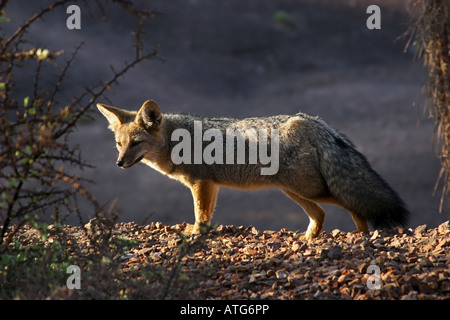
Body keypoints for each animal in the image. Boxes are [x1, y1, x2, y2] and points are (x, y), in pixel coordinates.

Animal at [96, 101, 410, 239]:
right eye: (119, 144)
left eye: (136, 143)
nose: (119, 163)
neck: (177, 140)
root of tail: (311, 121)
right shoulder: (211, 185)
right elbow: (206, 214)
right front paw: (200, 231)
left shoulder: (201, 183)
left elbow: (200, 214)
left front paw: (196, 233)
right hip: (293, 191)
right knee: (321, 215)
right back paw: (308, 238)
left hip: (308, 190)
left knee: (350, 203)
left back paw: (361, 234)